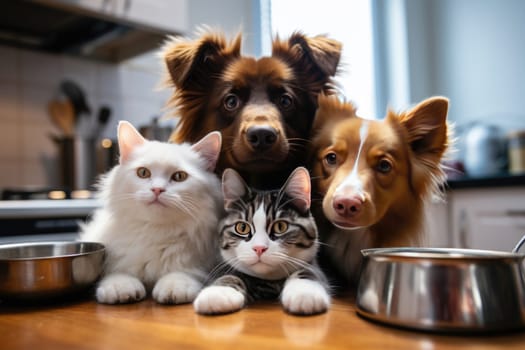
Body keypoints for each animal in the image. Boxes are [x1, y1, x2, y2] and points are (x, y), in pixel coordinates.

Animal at [80, 121, 223, 304]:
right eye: (143, 173)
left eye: (179, 176)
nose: (157, 189)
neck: (156, 232)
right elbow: (119, 273)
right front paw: (121, 289)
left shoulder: (197, 265)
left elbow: (180, 274)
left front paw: (174, 288)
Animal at [192, 167, 332, 314]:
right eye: (242, 228)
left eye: (280, 226)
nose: (259, 248)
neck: (268, 281)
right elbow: (228, 274)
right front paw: (218, 293)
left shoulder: (313, 265)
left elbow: (308, 272)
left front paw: (304, 293)